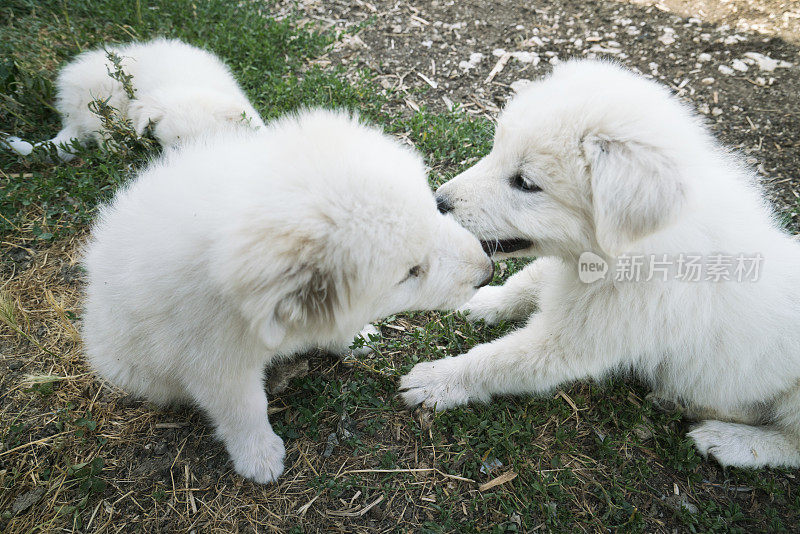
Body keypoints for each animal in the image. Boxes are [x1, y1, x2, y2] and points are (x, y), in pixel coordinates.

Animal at [4, 38, 264, 160]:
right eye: (176, 147)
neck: (190, 82)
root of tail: (70, 113)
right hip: (103, 100)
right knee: (103, 135)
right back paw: (122, 148)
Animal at [83, 109, 494, 486]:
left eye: (434, 211)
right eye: (410, 272)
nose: (488, 272)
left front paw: (357, 338)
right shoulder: (214, 362)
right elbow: (245, 409)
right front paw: (259, 456)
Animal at [400, 60, 800, 472]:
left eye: (525, 183)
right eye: (496, 151)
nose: (438, 201)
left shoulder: (575, 342)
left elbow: (496, 361)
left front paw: (438, 380)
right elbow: (529, 280)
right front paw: (485, 302)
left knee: (791, 443)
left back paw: (731, 441)